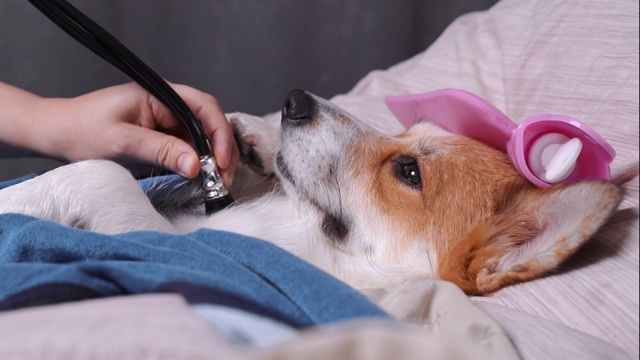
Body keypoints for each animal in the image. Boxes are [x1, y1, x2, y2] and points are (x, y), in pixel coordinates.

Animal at [0, 90, 624, 296]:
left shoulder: (180, 241)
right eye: (405, 135)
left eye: (409, 173)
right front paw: (250, 138)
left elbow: (103, 171)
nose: (295, 100)